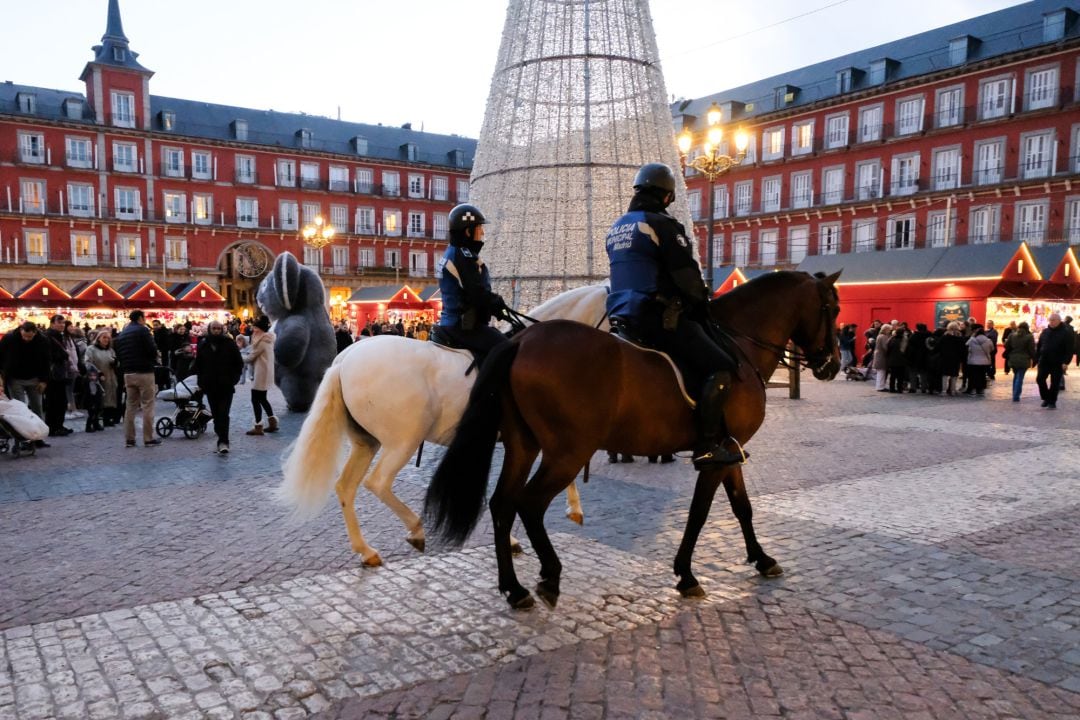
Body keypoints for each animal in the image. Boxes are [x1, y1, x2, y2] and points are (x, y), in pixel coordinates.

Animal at [280, 284, 609, 565]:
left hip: (366, 442)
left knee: (346, 487)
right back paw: (416, 529)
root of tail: (343, 360)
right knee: (378, 483)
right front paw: (571, 510)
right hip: (403, 441)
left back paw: (366, 550)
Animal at [423, 269, 842, 608]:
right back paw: (550, 576)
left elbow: (742, 507)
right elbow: (700, 513)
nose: (832, 365)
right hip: (566, 453)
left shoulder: (730, 451)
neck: (738, 345)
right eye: (831, 308)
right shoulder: (717, 456)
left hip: (523, 446)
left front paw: (762, 558)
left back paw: (514, 588)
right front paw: (686, 573)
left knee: (502, 504)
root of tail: (521, 340)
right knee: (529, 504)